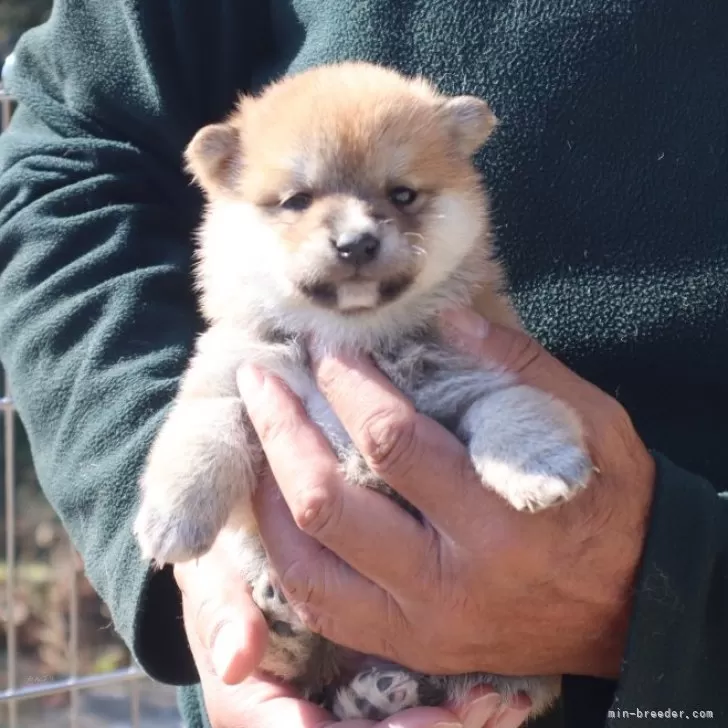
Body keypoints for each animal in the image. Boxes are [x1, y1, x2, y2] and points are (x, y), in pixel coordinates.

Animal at [134, 62, 596, 724]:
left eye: (401, 194)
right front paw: (174, 515)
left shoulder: (476, 372)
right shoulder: (235, 377)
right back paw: (287, 630)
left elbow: (510, 407)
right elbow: (204, 432)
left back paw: (384, 687)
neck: (349, 336)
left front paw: (541, 467)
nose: (355, 242)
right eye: (297, 200)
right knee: (303, 665)